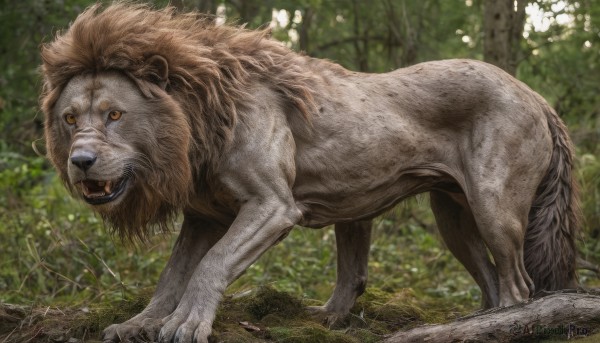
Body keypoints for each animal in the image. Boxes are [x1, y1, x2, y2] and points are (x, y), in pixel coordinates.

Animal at [39, 3, 580, 343]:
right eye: (70, 119)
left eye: (114, 115)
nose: (80, 162)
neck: (196, 123)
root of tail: (538, 97)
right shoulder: (204, 217)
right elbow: (171, 275)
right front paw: (140, 324)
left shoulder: (272, 205)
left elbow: (211, 265)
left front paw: (186, 325)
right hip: (451, 215)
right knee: (485, 282)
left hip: (494, 205)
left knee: (517, 287)